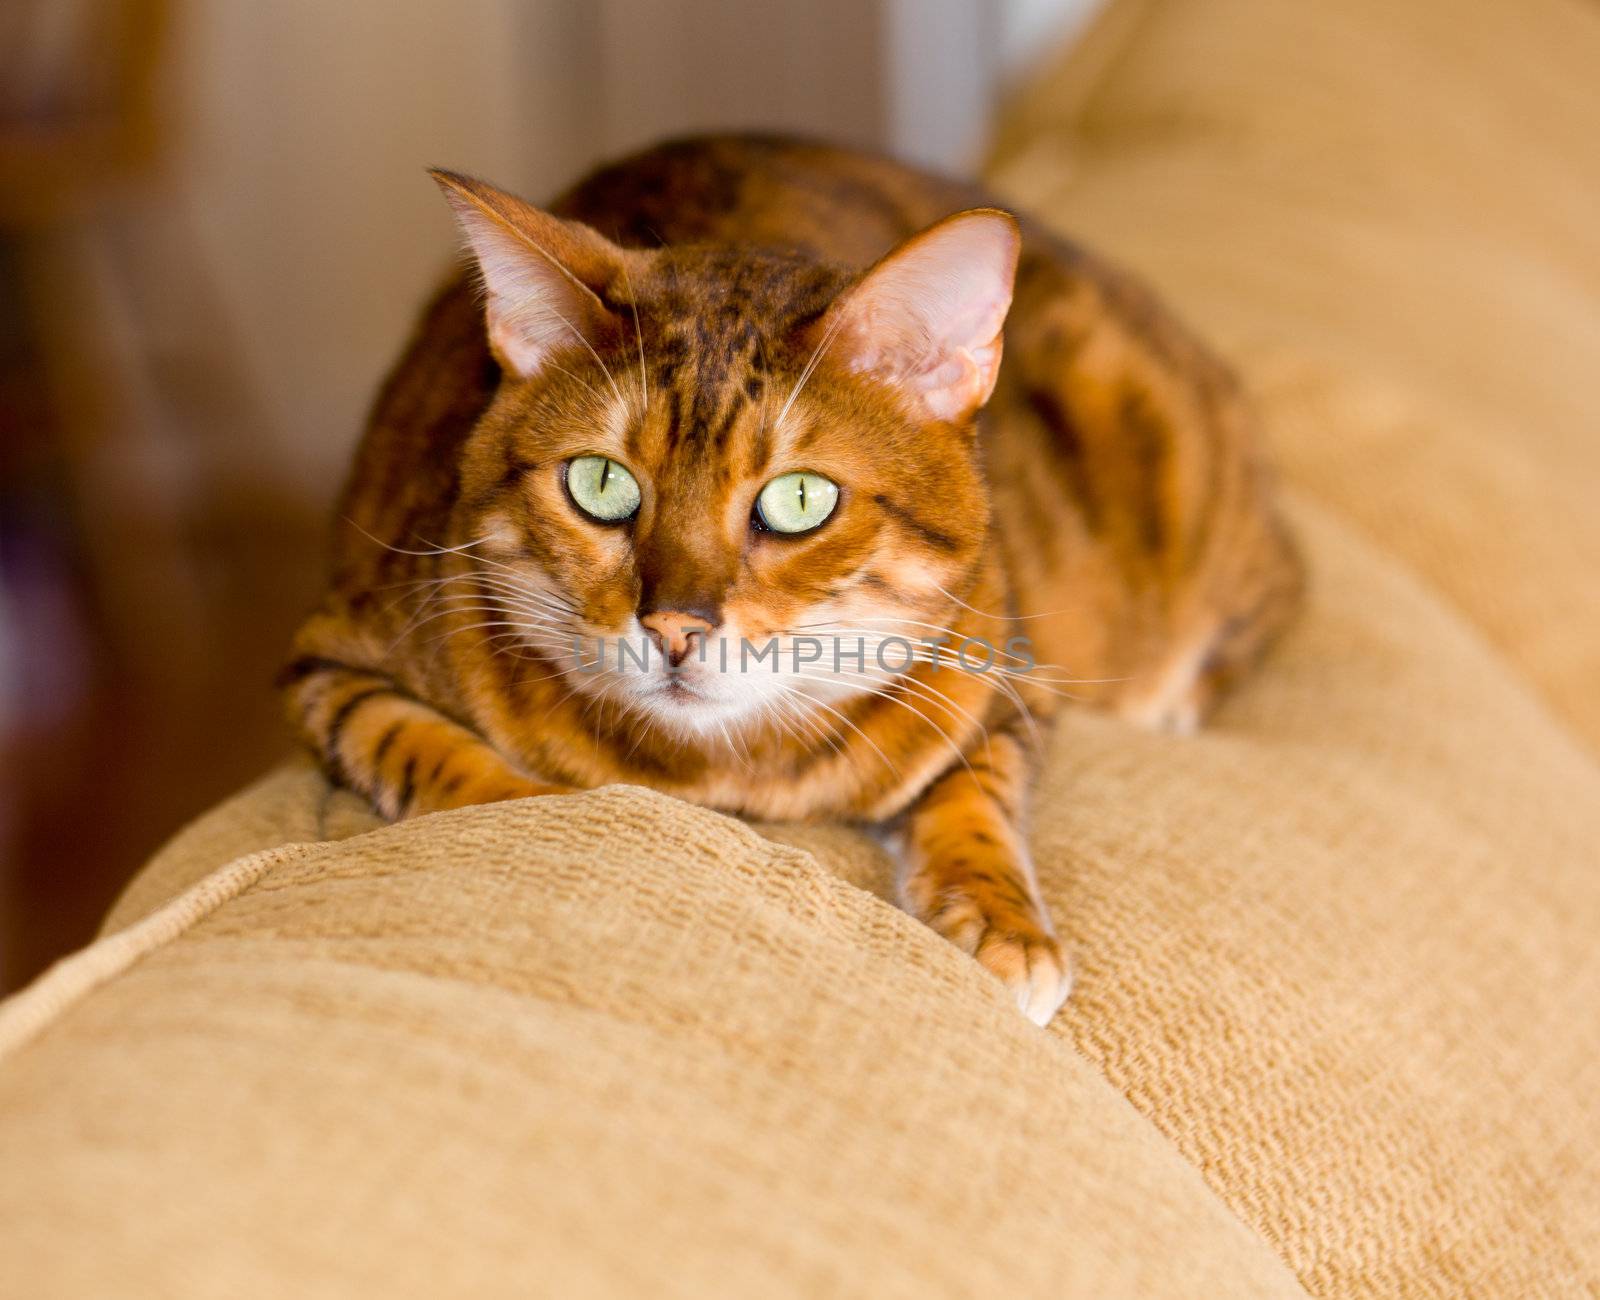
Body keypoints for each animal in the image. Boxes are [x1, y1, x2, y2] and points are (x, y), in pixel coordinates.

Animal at [278, 134, 1299, 1024]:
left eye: (800, 498)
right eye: (600, 484)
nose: (675, 627)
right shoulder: (331, 657)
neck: (734, 772)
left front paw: (1002, 925)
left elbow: (978, 792)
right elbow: (419, 744)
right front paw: (528, 808)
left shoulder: (1003, 677)